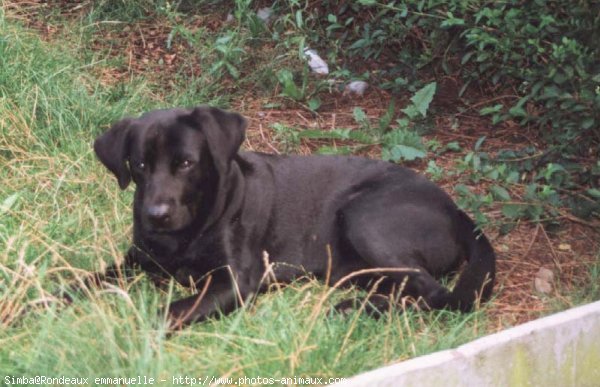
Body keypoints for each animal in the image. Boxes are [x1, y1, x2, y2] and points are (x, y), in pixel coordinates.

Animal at [92, 105, 496, 328]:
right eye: (140, 165)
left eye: (186, 163)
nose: (155, 215)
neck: (184, 236)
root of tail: (458, 211)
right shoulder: (137, 260)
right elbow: (87, 280)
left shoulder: (234, 282)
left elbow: (169, 311)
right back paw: (357, 307)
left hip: (363, 217)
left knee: (438, 294)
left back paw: (354, 309)